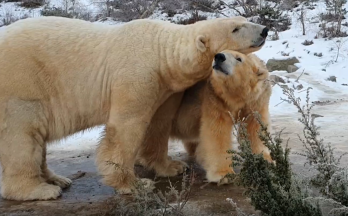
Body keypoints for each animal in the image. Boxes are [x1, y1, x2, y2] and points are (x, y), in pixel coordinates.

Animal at [168, 50, 272, 184]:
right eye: (222, 51)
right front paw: (223, 174)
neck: (236, 97)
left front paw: (266, 160)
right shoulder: (215, 99)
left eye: (239, 58)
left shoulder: (257, 100)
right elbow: (217, 133)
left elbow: (255, 128)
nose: (219, 57)